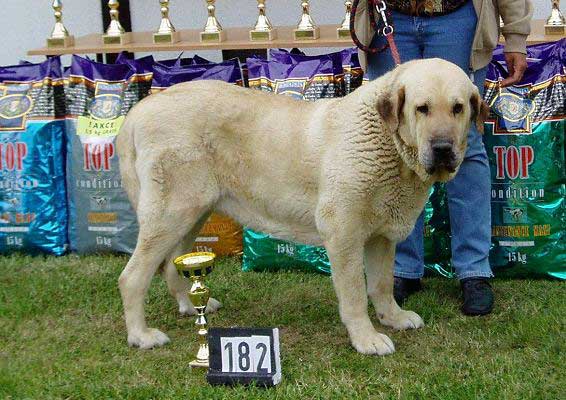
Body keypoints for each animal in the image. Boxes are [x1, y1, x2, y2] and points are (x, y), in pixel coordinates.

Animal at [115, 58, 488, 354]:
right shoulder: (344, 233)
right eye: (421, 108)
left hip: (192, 214)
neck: (391, 146)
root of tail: (139, 111)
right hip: (171, 213)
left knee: (171, 265)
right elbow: (355, 292)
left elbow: (381, 284)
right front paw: (366, 338)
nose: (442, 148)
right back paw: (141, 335)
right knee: (132, 277)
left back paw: (191, 308)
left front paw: (392, 318)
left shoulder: (381, 236)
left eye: (458, 108)